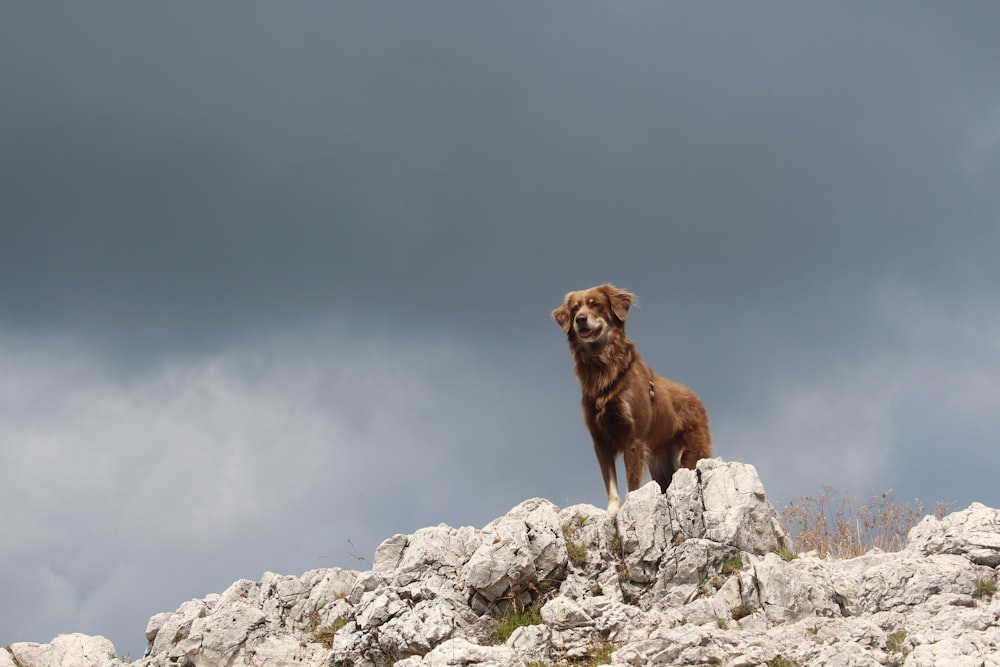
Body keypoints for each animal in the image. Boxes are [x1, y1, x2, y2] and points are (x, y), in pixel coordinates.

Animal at [556, 284, 712, 516]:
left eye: (596, 305)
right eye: (575, 308)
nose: (580, 319)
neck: (603, 369)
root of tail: (696, 399)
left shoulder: (634, 437)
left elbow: (631, 481)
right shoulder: (600, 440)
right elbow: (610, 483)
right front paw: (612, 510)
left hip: (688, 454)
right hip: (660, 466)